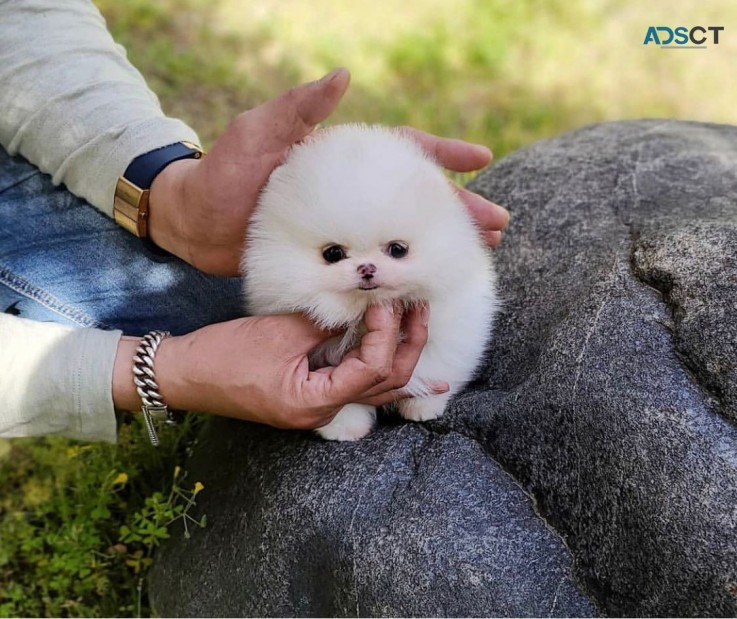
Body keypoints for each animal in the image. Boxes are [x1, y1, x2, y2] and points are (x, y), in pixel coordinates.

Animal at [244, 123, 498, 440]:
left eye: (398, 249)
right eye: (333, 253)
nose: (367, 268)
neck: (361, 312)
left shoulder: (453, 320)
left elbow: (435, 363)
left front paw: (423, 405)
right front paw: (343, 427)